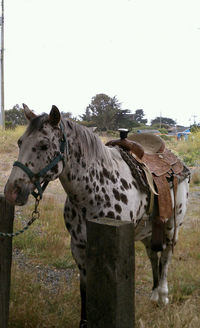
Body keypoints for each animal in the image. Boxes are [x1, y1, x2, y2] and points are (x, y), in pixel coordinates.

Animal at [3, 104, 190, 326]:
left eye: (43, 145)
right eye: (20, 142)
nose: (11, 192)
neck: (95, 189)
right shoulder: (79, 247)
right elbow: (85, 289)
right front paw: (84, 322)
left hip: (172, 227)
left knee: (166, 257)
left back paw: (162, 296)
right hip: (148, 229)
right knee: (153, 256)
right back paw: (153, 295)